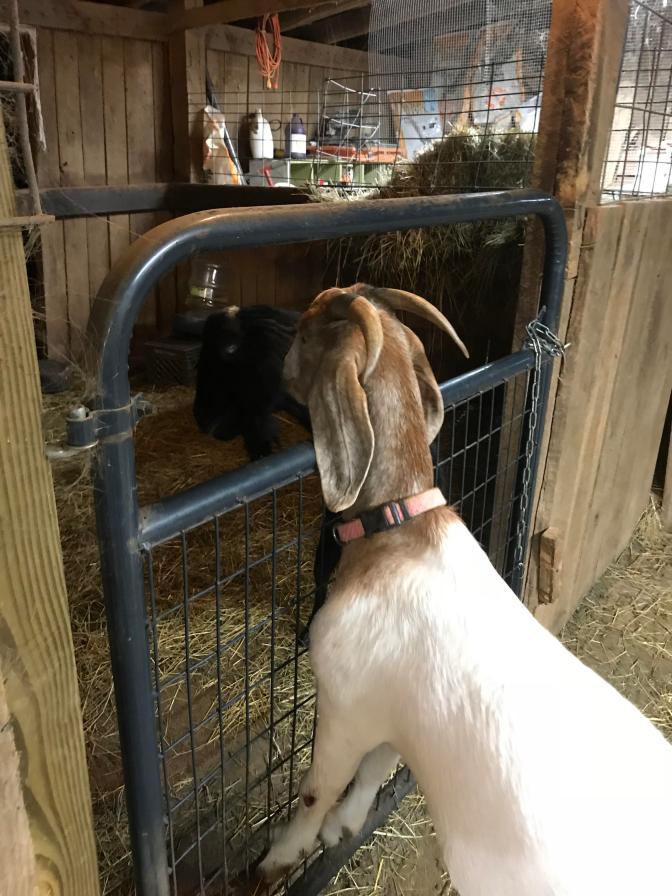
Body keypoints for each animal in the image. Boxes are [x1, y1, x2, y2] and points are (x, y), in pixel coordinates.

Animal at [258, 284, 672, 895]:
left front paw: (281, 855)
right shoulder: (393, 712)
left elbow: (317, 790)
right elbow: (376, 769)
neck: (399, 529)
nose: (280, 366)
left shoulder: (345, 706)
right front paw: (345, 827)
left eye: (308, 330)